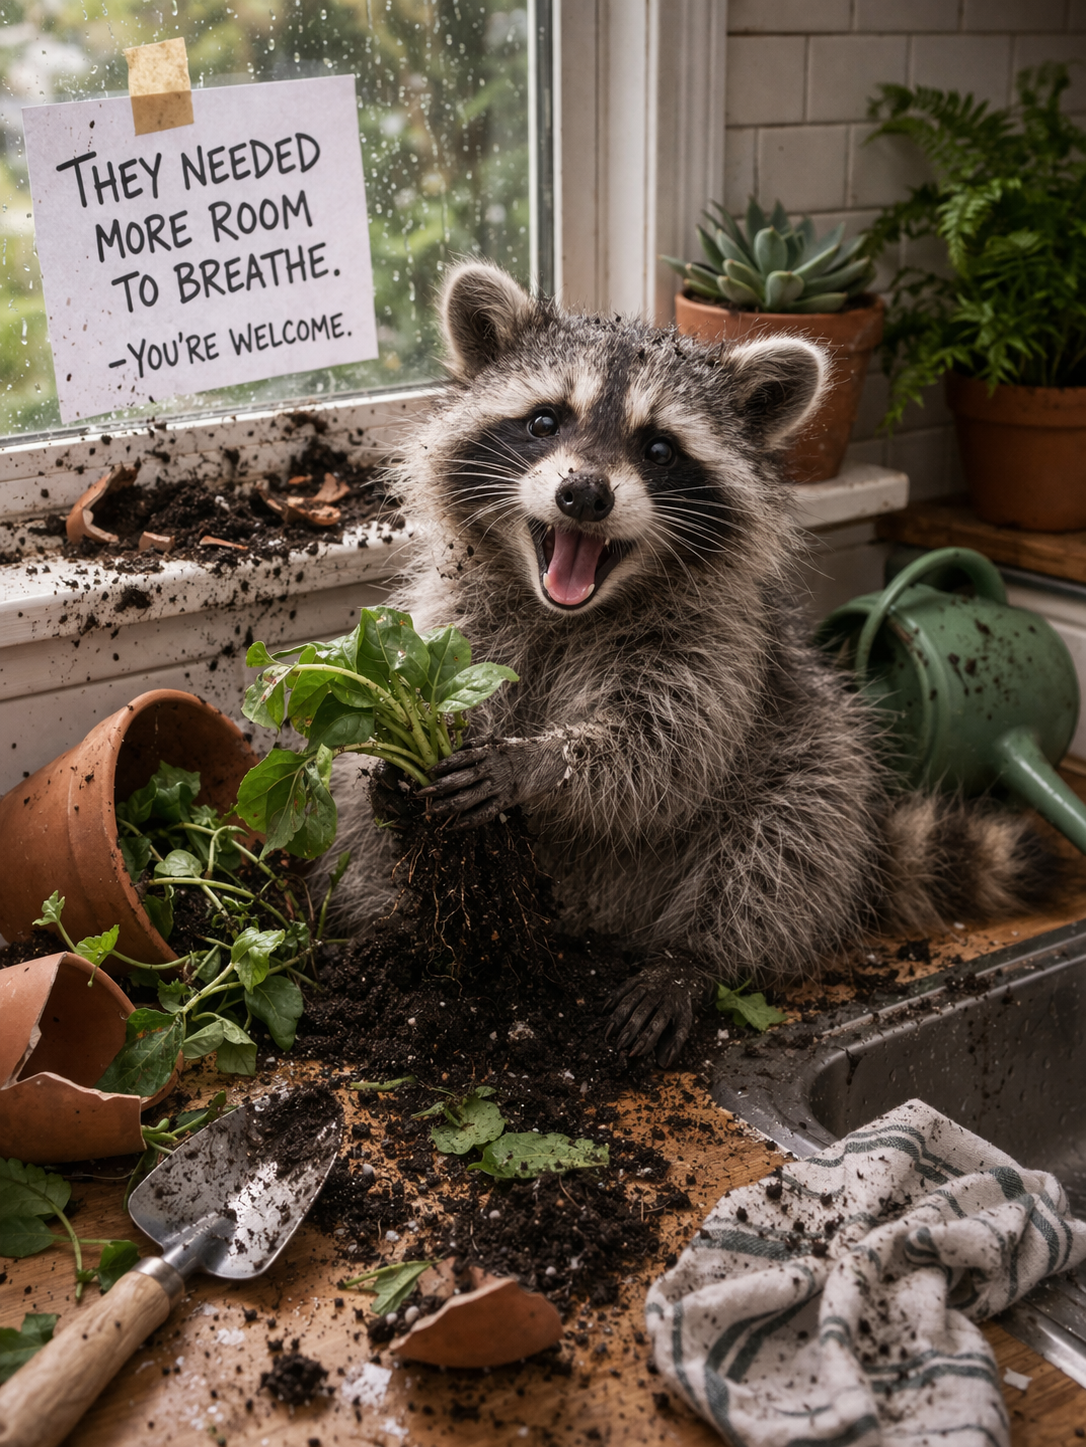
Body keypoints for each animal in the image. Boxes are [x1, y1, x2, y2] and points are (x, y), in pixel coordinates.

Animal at [327, 261, 1057, 1066]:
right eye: (545, 421)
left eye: (659, 449)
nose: (584, 494)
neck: (568, 614)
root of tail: (591, 918)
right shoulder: (459, 617)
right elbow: (424, 700)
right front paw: (405, 772)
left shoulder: (720, 645)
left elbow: (665, 755)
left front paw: (542, 761)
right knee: (352, 814)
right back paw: (393, 919)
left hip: (809, 741)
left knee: (792, 831)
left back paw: (694, 957)